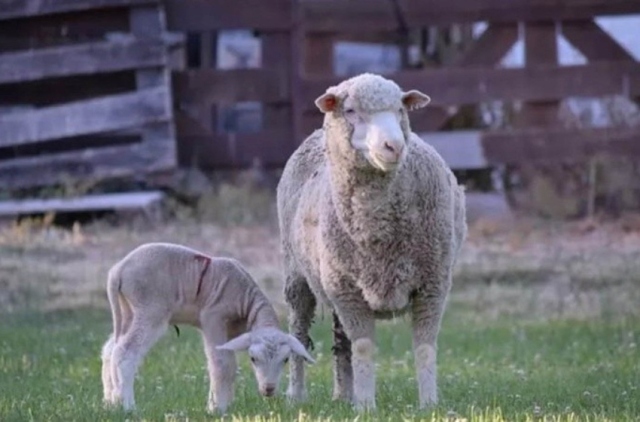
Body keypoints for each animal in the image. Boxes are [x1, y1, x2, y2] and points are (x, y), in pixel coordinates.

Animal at [99, 242, 316, 414]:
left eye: (286, 359)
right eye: (253, 359)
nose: (269, 389)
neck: (246, 300)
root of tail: (118, 270)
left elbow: (229, 364)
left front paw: (225, 402)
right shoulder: (213, 317)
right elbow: (223, 364)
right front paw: (217, 408)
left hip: (128, 309)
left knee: (111, 349)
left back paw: (111, 401)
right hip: (150, 308)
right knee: (126, 352)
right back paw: (128, 406)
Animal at [278, 72, 468, 412]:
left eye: (400, 109)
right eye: (351, 110)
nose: (394, 146)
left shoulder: (432, 283)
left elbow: (424, 348)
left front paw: (429, 405)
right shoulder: (348, 291)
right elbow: (364, 347)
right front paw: (366, 406)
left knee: (341, 342)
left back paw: (343, 394)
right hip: (298, 276)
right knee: (298, 333)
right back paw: (296, 395)